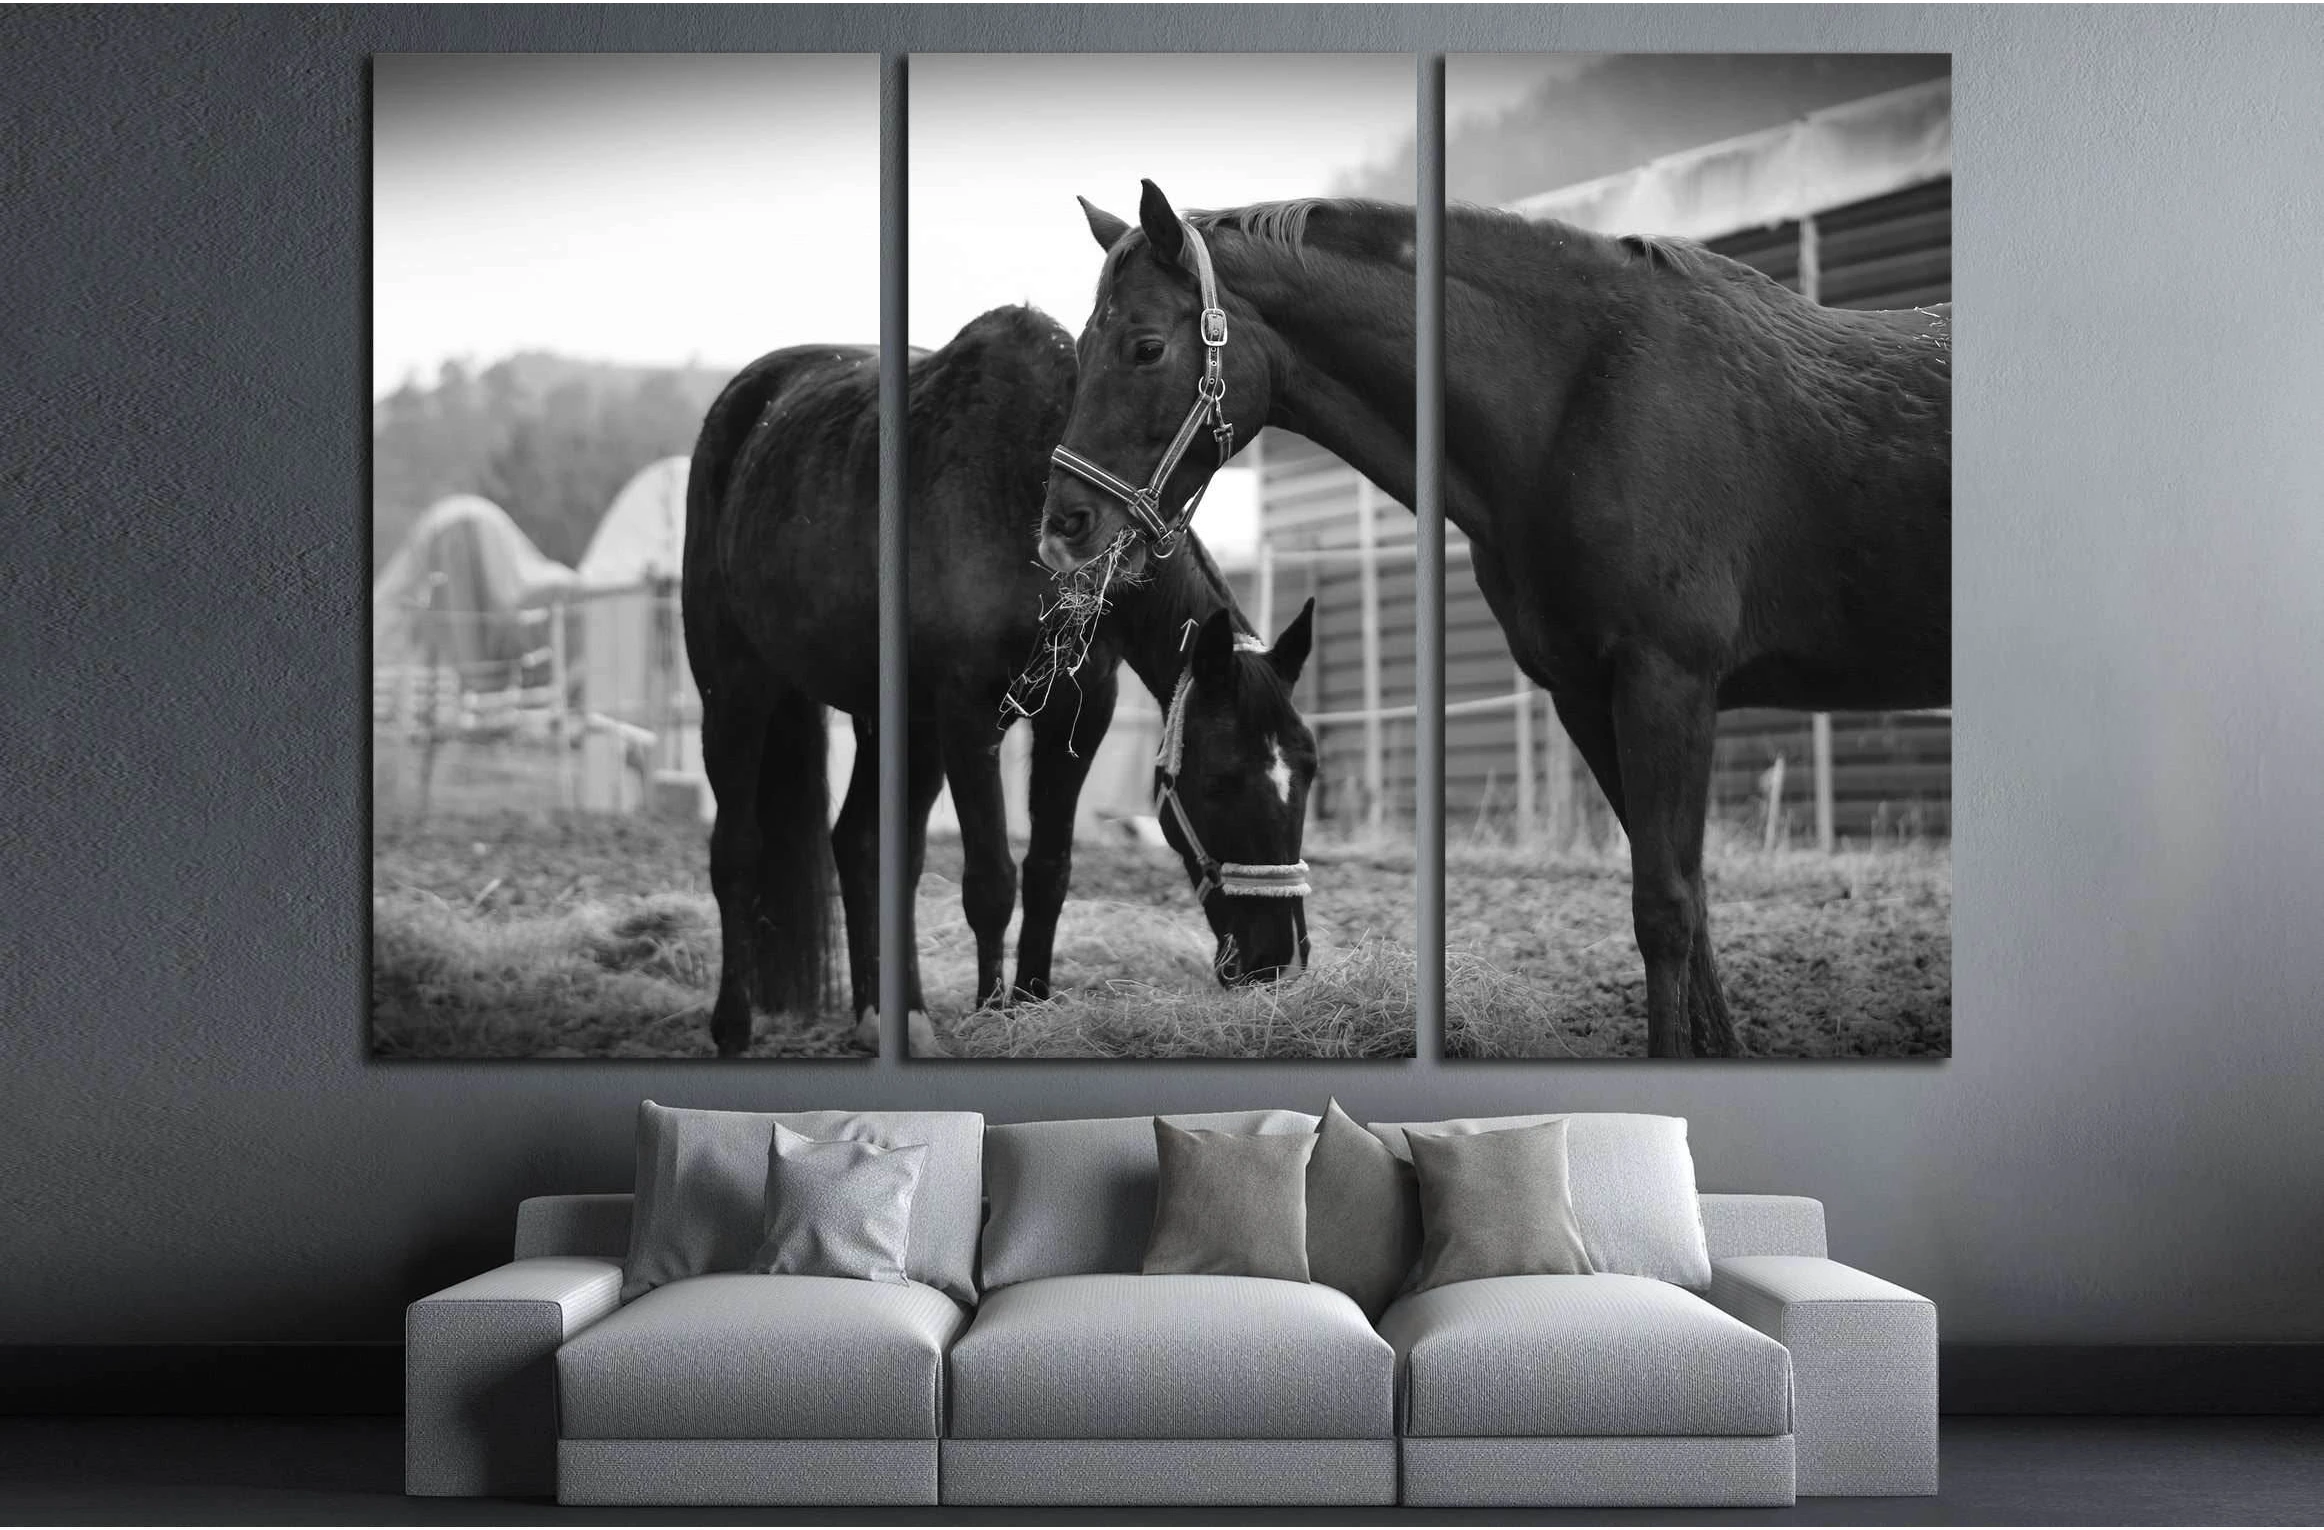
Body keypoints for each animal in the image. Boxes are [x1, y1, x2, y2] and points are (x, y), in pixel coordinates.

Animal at [683, 302, 1317, 1059]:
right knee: (736, 853)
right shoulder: (968, 715)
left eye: (1310, 774)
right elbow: (990, 880)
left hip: (892, 722)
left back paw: (886, 1016)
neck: (1025, 490)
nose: (1278, 960)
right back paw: (733, 1024)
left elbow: (1048, 870)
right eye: (1220, 781)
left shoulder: (1081, 712)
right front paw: (992, 1016)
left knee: (863, 845)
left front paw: (1032, 1003)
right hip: (735, 692)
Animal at [1038, 182, 1950, 1059]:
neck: (1586, 398)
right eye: (1080, 350)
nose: (1063, 525)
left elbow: (1664, 908)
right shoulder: (1588, 695)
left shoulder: (1668, 685)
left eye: (1146, 347)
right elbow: (1688, 896)